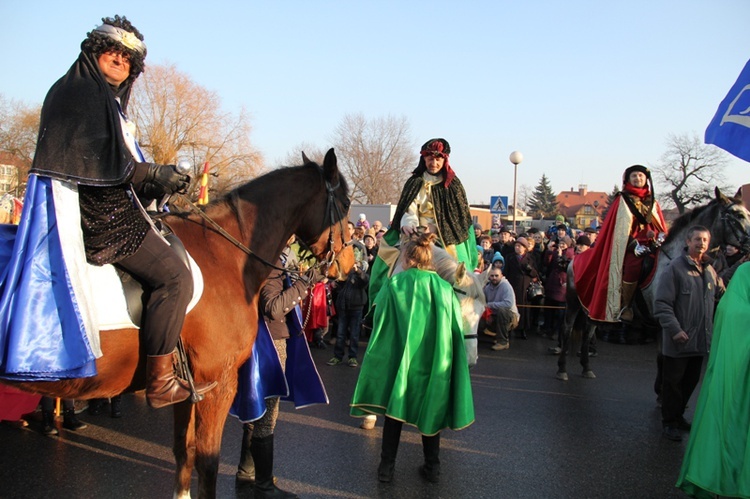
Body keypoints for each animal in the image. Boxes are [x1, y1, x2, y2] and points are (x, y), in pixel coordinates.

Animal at [2, 148, 356, 499]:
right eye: (346, 204)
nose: (350, 265)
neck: (224, 254)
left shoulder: (189, 387)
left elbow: (183, 452)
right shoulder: (218, 383)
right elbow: (208, 462)